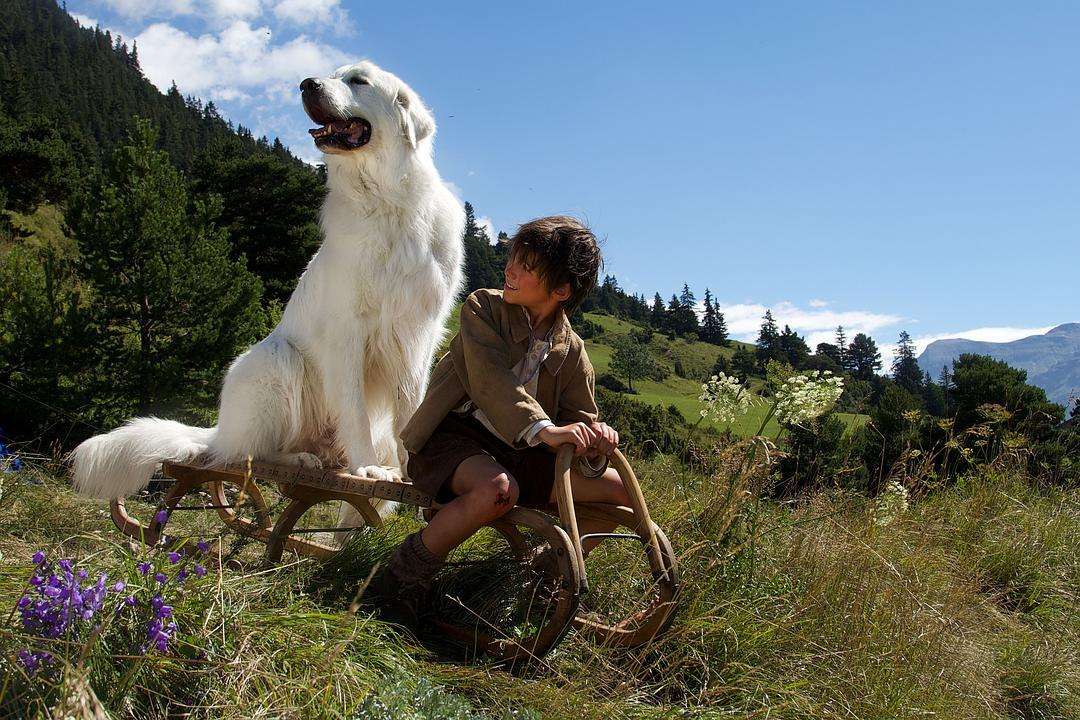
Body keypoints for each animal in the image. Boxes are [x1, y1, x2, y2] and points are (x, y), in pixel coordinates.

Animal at [69, 60, 466, 518]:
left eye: (358, 81)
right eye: (334, 74)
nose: (307, 84)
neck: (387, 202)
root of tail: (218, 430)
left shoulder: (418, 335)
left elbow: (413, 412)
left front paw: (410, 472)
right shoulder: (348, 333)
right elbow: (354, 410)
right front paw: (367, 468)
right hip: (276, 361)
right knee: (249, 453)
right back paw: (302, 458)